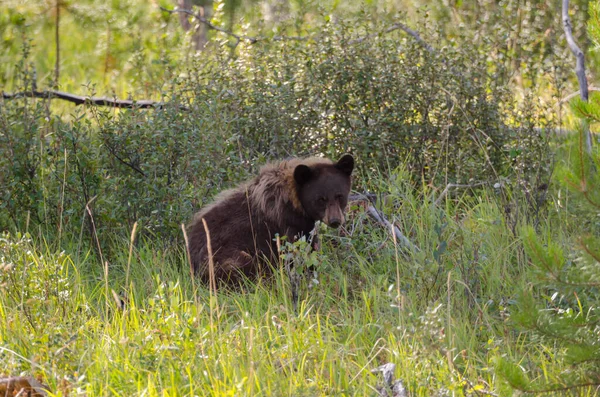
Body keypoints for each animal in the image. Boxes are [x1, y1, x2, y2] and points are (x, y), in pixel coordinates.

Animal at [188, 153, 354, 284]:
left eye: (339, 196)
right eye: (320, 199)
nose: (335, 220)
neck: (294, 200)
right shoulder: (290, 224)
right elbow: (301, 252)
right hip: (224, 259)